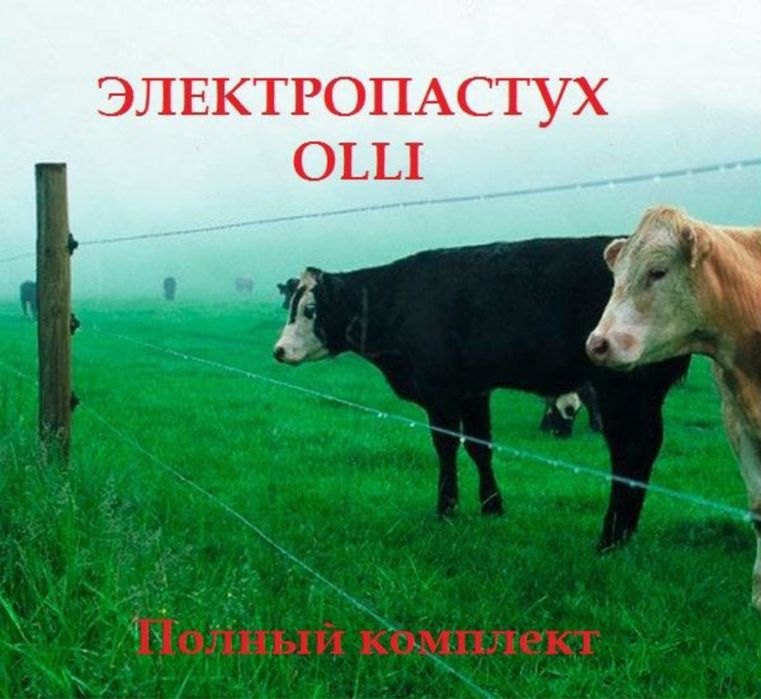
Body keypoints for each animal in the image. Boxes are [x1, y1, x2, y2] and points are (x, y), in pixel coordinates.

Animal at [273, 238, 689, 551]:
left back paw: (611, 537)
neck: (399, 298)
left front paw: (446, 508)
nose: (279, 350)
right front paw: (492, 506)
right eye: (289, 304)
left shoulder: (440, 392)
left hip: (623, 385)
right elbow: (479, 446)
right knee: (646, 445)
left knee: (630, 448)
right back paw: (624, 532)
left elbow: (446, 446)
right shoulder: (473, 391)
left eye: (311, 309)